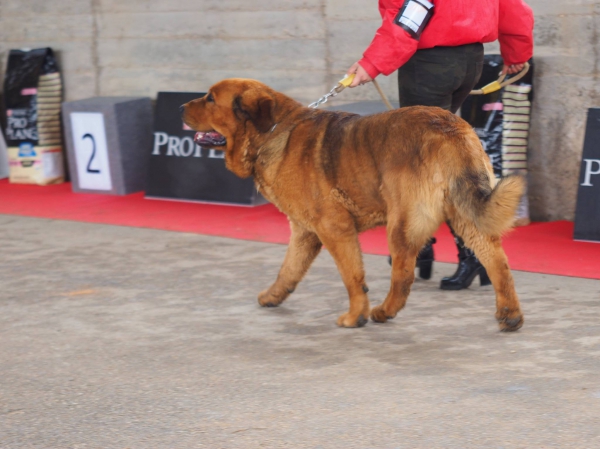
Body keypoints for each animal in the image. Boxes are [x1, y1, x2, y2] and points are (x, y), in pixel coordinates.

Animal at [179, 79, 524, 330]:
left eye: (210, 99)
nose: (181, 106)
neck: (271, 133)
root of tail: (450, 128)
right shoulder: (304, 231)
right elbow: (289, 269)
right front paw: (273, 296)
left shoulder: (334, 228)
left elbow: (352, 277)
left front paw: (355, 315)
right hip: (466, 215)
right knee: (497, 261)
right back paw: (510, 314)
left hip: (401, 224)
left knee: (403, 275)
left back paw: (383, 311)